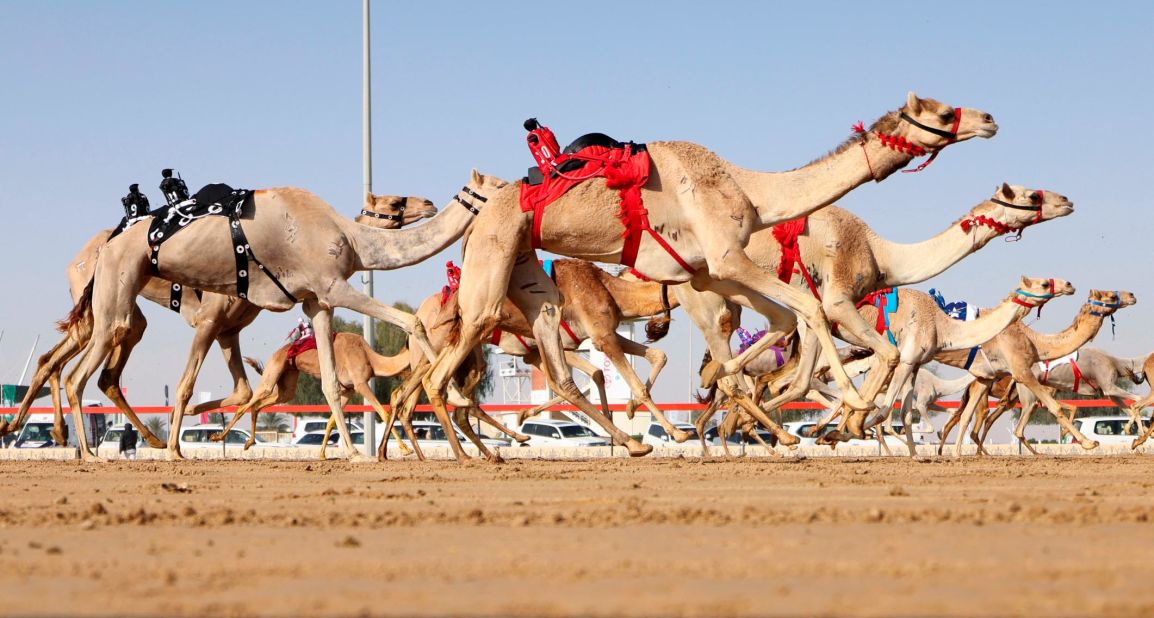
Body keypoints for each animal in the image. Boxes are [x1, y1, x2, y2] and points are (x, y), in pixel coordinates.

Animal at [0, 193, 431, 449]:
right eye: (395, 203)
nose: (426, 203)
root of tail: (82, 254)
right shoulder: (210, 322)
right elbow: (199, 384)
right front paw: (189, 428)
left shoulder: (230, 330)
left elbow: (241, 391)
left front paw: (199, 423)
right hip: (101, 307)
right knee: (72, 364)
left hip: (110, 314)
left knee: (73, 366)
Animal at [58, 171, 500, 461]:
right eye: (394, 202)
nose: (427, 202)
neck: (351, 239)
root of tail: (106, 243)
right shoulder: (332, 287)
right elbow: (413, 321)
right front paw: (456, 394)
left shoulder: (316, 303)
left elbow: (330, 383)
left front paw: (354, 452)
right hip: (116, 296)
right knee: (78, 374)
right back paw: (95, 453)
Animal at [420, 91, 997, 458]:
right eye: (945, 112)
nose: (989, 118)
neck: (750, 191)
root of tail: (483, 214)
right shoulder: (726, 259)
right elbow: (811, 309)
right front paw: (851, 407)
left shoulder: (707, 273)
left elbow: (782, 325)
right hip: (490, 260)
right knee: (442, 367)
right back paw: (477, 454)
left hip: (527, 271)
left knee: (553, 357)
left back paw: (631, 441)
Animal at [932, 288, 1130, 454]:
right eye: (1111, 296)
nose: (1132, 295)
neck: (1032, 340)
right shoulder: (1022, 371)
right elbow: (1056, 407)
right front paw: (1089, 442)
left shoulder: (988, 376)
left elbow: (967, 416)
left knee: (965, 419)